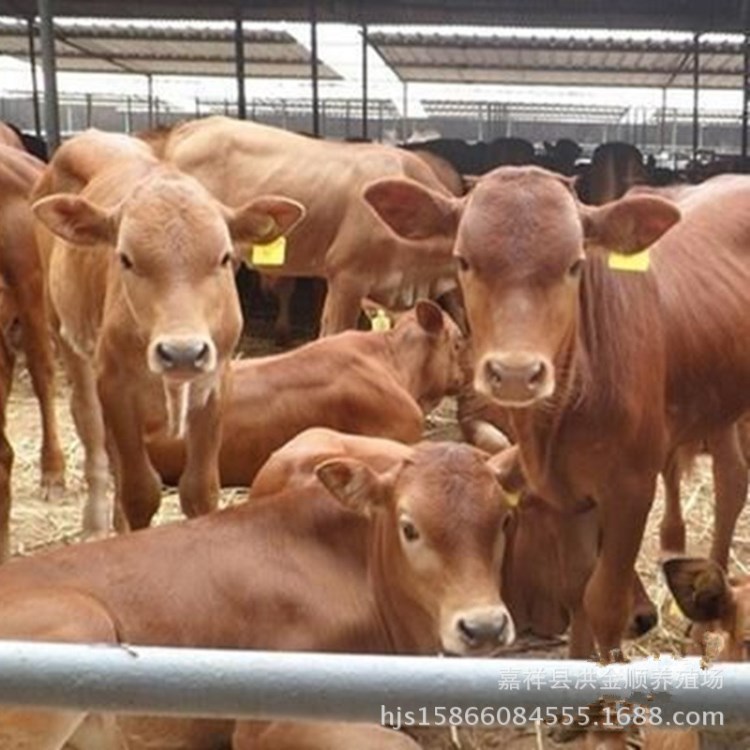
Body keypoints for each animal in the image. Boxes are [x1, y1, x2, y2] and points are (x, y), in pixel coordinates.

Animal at [32, 148, 302, 536]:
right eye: (125, 259)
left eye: (224, 257)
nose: (182, 353)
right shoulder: (115, 386)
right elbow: (140, 491)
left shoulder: (216, 384)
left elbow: (200, 490)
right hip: (64, 332)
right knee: (90, 425)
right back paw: (96, 523)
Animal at [368, 166, 750, 664]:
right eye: (464, 260)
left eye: (574, 265)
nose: (515, 373)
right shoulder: (560, 491)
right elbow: (576, 591)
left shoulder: (630, 488)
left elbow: (604, 602)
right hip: (718, 403)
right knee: (731, 478)